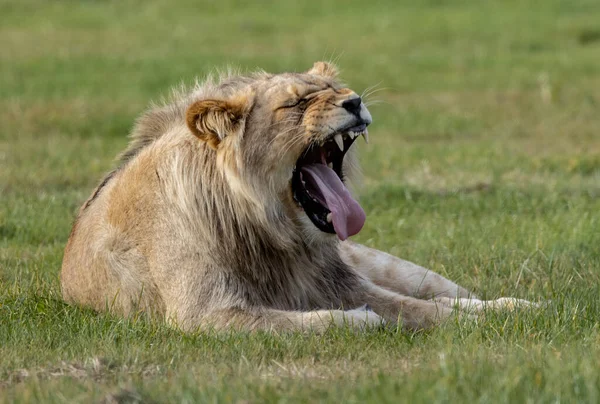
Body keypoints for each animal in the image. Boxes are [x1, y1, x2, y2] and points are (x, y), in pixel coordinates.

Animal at [58, 60, 532, 332]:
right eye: (297, 104)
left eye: (339, 88)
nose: (355, 101)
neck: (274, 231)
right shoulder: (205, 313)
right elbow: (311, 323)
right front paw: (362, 320)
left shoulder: (342, 281)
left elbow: (425, 309)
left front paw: (502, 314)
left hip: (397, 267)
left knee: (448, 291)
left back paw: (519, 303)